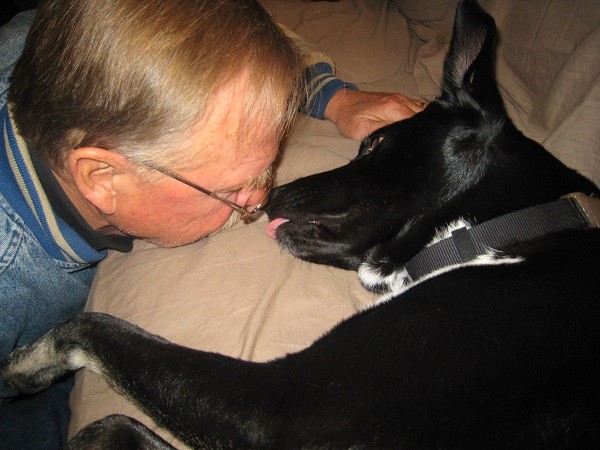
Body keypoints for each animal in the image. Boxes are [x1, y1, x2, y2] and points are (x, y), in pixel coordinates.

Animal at [3, 1, 600, 448]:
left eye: (375, 144)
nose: (271, 197)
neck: (502, 227)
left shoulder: (284, 404)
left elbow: (97, 349)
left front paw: (23, 365)